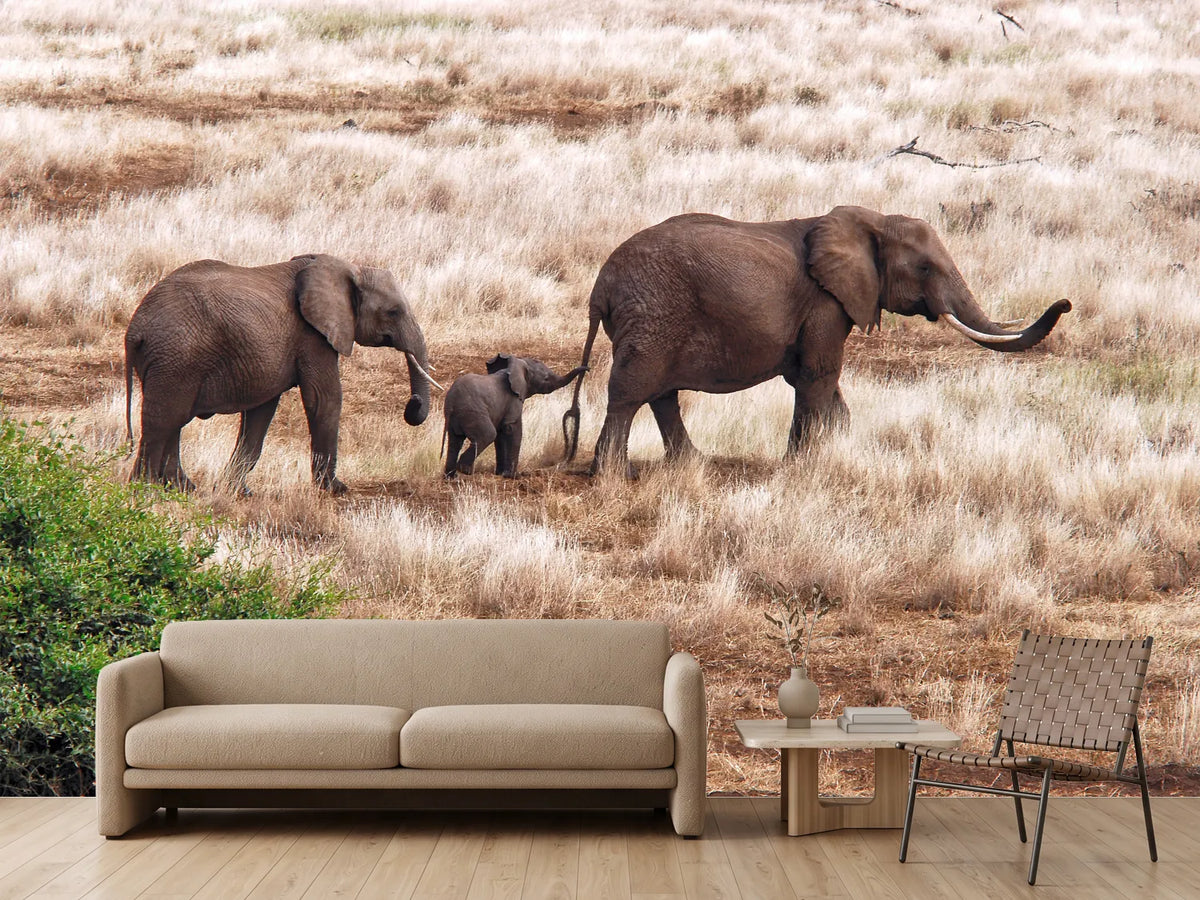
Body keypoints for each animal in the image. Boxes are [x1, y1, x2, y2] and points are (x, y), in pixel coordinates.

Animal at [124, 253, 439, 495]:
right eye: (394, 312)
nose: (412, 405)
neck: (348, 267)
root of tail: (134, 329)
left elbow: (261, 413)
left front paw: (240, 492)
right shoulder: (312, 335)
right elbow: (324, 400)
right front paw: (334, 489)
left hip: (173, 362)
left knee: (174, 421)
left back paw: (182, 489)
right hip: (177, 359)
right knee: (164, 419)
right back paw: (144, 490)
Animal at [442, 353, 587, 478]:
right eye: (546, 378)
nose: (587, 368)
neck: (517, 364)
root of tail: (451, 402)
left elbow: (501, 434)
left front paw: (500, 474)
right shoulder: (514, 400)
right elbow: (511, 429)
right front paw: (512, 476)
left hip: (457, 417)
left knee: (455, 441)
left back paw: (451, 477)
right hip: (472, 412)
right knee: (487, 435)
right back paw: (465, 471)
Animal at [563, 205, 1070, 474]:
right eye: (926, 268)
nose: (1064, 303)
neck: (873, 220)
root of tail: (600, 286)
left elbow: (820, 381)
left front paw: (837, 451)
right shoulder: (827, 302)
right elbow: (818, 374)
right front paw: (800, 466)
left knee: (661, 393)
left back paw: (693, 466)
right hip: (654, 311)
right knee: (631, 390)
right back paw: (610, 475)